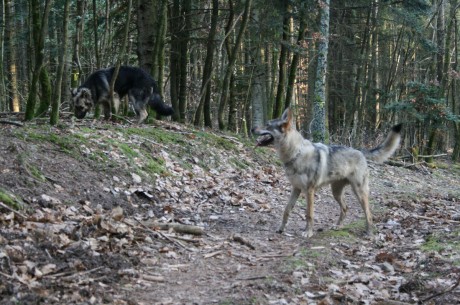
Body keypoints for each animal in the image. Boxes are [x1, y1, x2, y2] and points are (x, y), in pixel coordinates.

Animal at [253, 108, 400, 239]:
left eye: (267, 124)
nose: (252, 129)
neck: (296, 153)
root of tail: (360, 151)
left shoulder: (309, 191)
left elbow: (309, 214)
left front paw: (308, 233)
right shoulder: (296, 188)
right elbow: (286, 210)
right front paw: (281, 228)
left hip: (359, 193)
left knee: (368, 214)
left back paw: (369, 234)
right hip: (336, 192)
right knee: (345, 208)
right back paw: (338, 226)